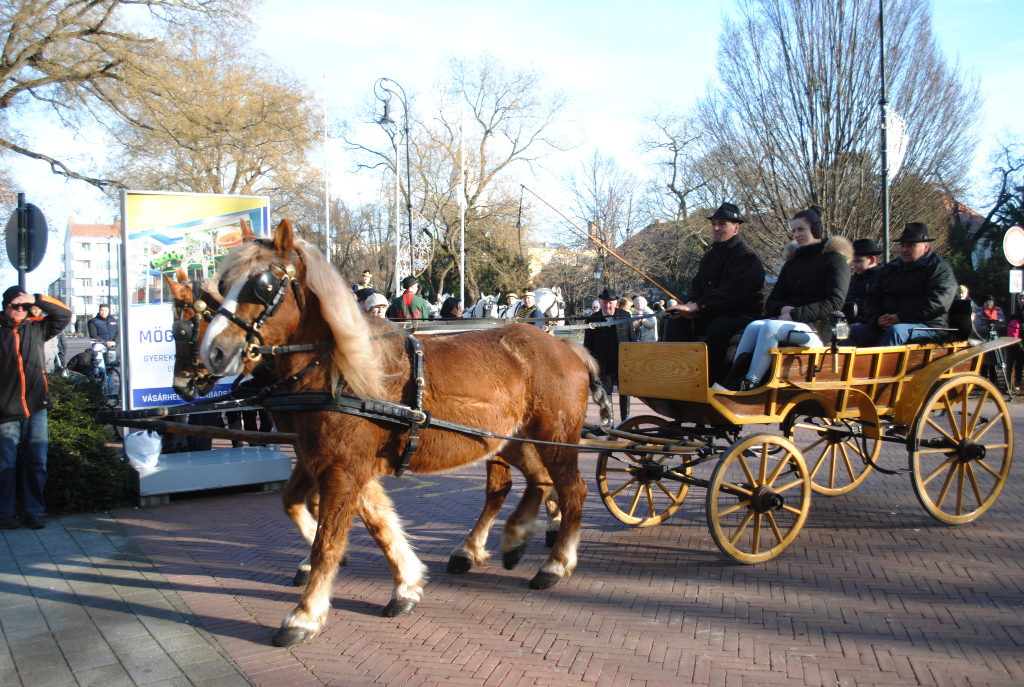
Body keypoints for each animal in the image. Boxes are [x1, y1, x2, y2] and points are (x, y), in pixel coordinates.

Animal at [199, 222, 606, 651]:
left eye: (263, 285)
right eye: (222, 283)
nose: (215, 352)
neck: (341, 368)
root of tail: (566, 345)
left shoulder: (343, 468)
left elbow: (328, 540)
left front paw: (305, 614)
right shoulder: (338, 462)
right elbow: (371, 522)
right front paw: (406, 585)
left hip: (554, 436)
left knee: (571, 489)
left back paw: (555, 563)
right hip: (509, 440)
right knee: (535, 481)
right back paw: (505, 541)